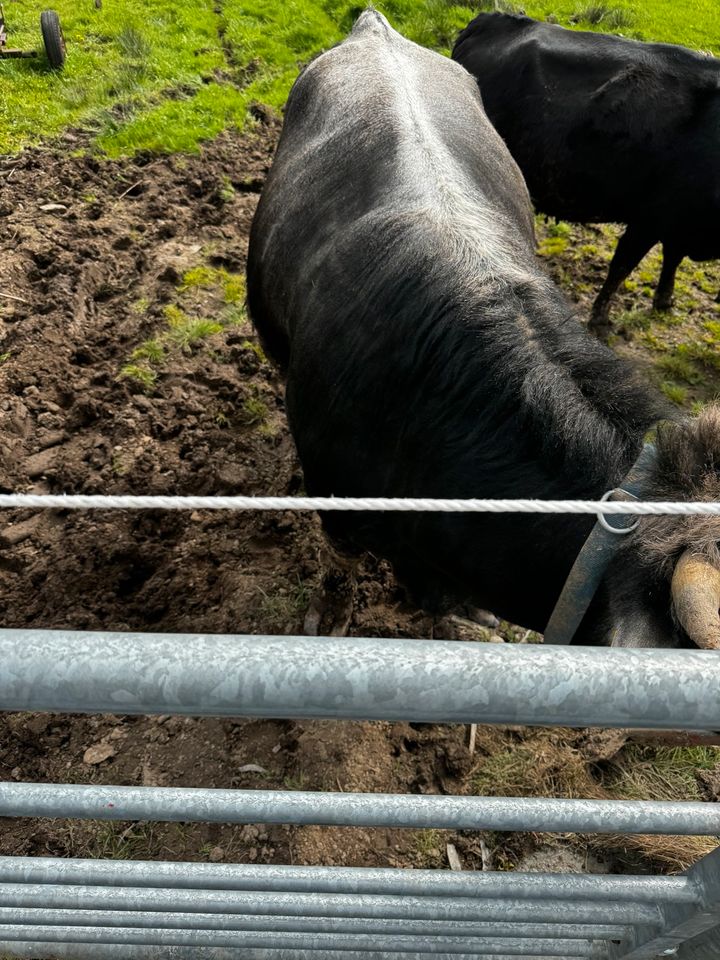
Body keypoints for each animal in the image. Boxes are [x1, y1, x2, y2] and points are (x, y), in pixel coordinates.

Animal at [452, 10, 716, 334]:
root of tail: (494, 18)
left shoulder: (677, 220)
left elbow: (672, 258)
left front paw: (664, 300)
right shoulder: (649, 219)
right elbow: (622, 266)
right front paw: (601, 319)